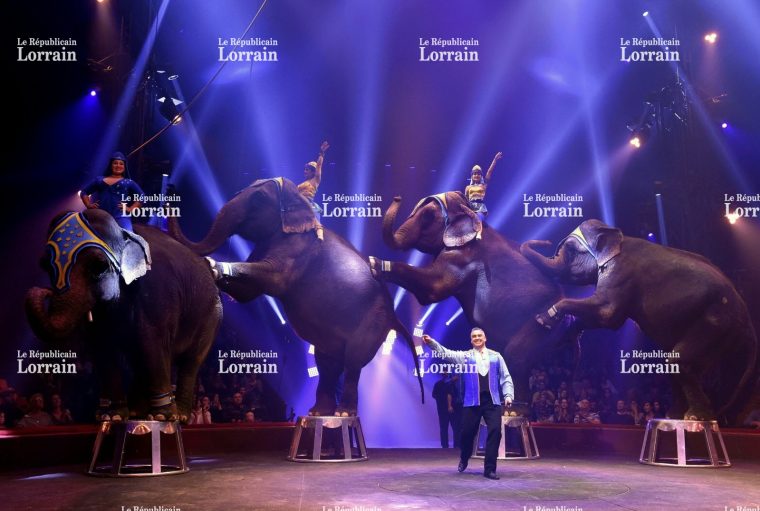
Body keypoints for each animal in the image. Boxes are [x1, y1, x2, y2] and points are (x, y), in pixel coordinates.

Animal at [26, 210, 223, 422]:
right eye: (45, 266)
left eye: (98, 266)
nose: (44, 291)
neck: (124, 233)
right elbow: (102, 347)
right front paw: (111, 416)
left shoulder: (157, 291)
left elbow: (152, 341)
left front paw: (162, 417)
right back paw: (138, 413)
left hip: (212, 314)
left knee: (189, 360)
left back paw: (180, 416)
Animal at [167, 178, 424, 418]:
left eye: (258, 198)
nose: (171, 188)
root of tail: (394, 317)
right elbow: (248, 294)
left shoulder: (297, 249)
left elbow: (272, 279)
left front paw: (211, 265)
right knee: (327, 364)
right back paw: (319, 413)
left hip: (373, 322)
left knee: (352, 362)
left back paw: (343, 414)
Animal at [368, 192, 568, 412]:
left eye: (427, 215)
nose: (397, 197)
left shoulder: (462, 257)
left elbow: (432, 290)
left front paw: (374, 263)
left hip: (543, 325)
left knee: (515, 357)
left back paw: (513, 410)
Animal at [524, 218, 760, 422]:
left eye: (571, 251)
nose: (546, 242)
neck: (617, 237)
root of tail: (748, 320)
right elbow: (608, 319)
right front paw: (568, 331)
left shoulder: (621, 272)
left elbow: (608, 314)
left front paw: (543, 319)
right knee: (676, 368)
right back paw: (674, 416)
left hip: (716, 324)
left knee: (678, 362)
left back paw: (696, 418)